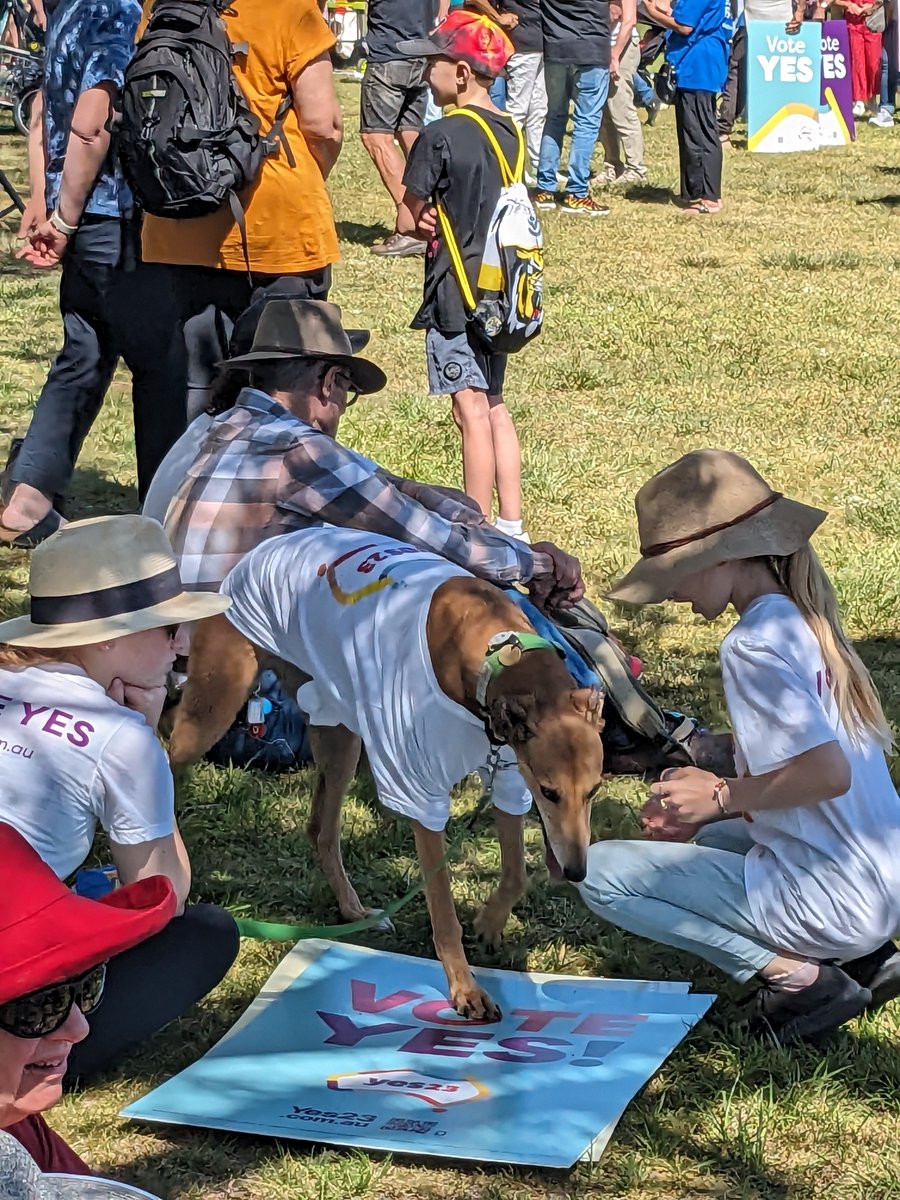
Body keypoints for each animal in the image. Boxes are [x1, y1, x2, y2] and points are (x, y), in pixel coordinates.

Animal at [169, 530, 607, 1017]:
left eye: (594, 790)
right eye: (550, 793)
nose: (576, 873)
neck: (496, 649)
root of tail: (265, 548)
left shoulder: (510, 772)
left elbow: (515, 873)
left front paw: (491, 923)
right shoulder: (422, 792)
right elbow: (443, 912)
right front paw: (465, 988)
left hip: (337, 730)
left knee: (321, 829)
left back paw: (353, 910)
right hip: (215, 704)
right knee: (164, 752)